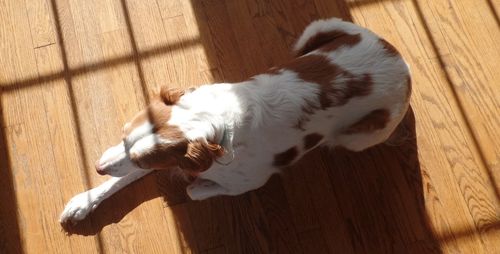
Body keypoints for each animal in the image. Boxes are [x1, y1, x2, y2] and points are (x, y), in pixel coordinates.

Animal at [59, 17, 410, 223]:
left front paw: (195, 184)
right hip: (318, 30)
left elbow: (193, 190)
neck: (215, 126)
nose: (97, 167)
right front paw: (83, 202)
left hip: (360, 136)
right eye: (122, 136)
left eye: (143, 161)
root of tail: (398, 58)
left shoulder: (251, 180)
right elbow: (121, 178)